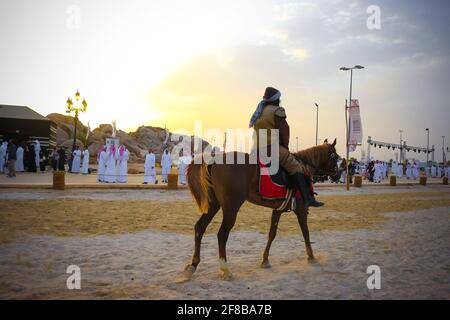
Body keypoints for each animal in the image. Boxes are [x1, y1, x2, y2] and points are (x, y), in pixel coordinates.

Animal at [183, 139, 338, 278]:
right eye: (335, 157)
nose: (337, 173)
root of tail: (215, 160)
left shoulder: (278, 210)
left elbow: (272, 234)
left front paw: (265, 260)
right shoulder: (301, 210)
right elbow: (306, 232)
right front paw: (311, 256)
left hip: (214, 205)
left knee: (200, 227)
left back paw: (193, 264)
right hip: (231, 208)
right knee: (222, 234)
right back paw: (225, 269)